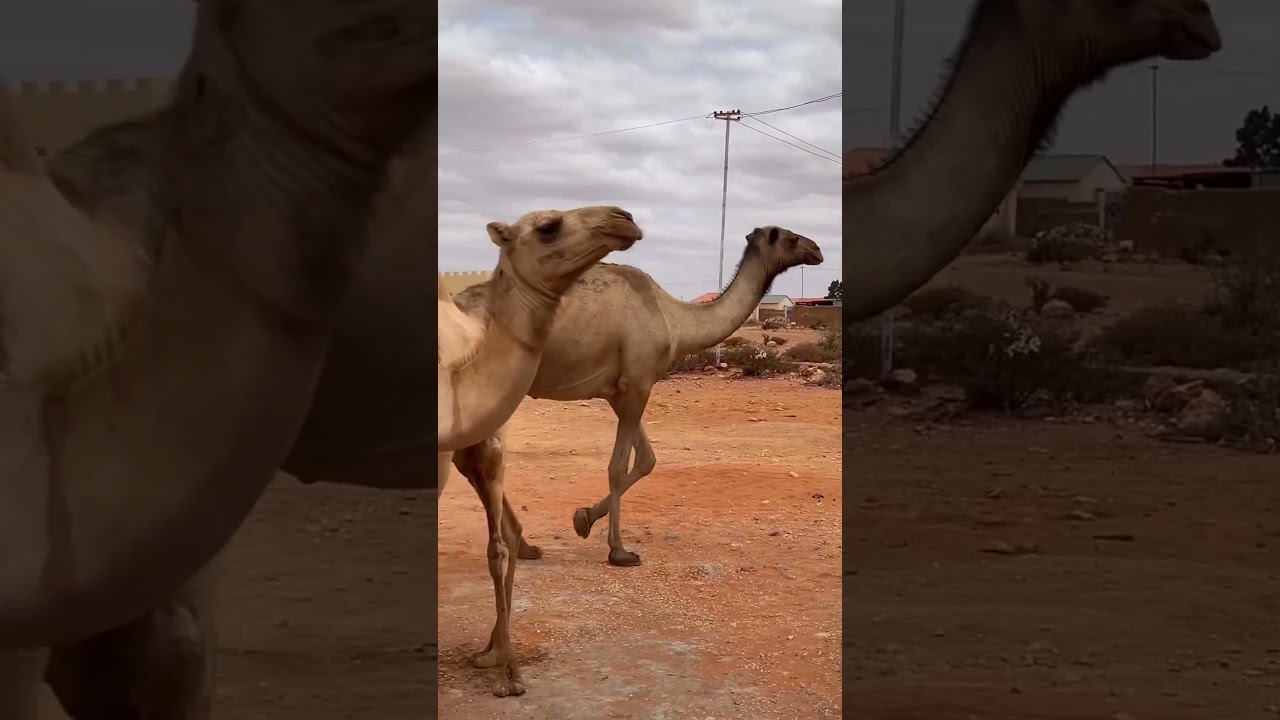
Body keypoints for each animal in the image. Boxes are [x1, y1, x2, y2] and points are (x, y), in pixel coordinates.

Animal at [452, 226, 824, 567]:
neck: (674, 319)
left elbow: (647, 459)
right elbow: (618, 466)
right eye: (790, 237)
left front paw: (583, 519)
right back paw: (519, 544)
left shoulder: (620, 391)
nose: (817, 250)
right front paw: (619, 550)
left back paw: (525, 546)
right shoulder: (638, 383)